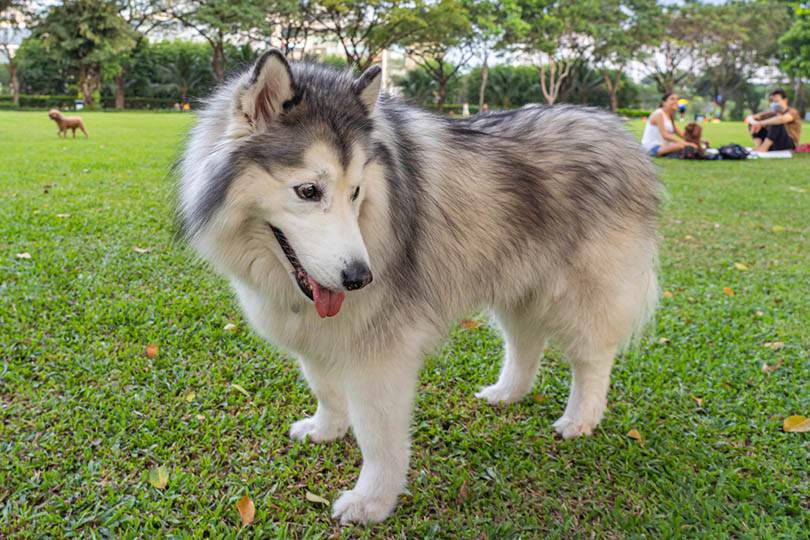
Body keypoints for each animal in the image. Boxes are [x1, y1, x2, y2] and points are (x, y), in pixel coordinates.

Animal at [175, 49, 656, 524]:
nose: (360, 278)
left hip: (582, 295)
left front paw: (371, 502)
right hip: (518, 280)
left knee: (592, 359)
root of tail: (614, 127)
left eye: (356, 192)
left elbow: (378, 437)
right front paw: (327, 428)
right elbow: (325, 386)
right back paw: (507, 393)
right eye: (308, 191)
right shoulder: (319, 334)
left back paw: (581, 418)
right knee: (525, 341)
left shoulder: (383, 354)